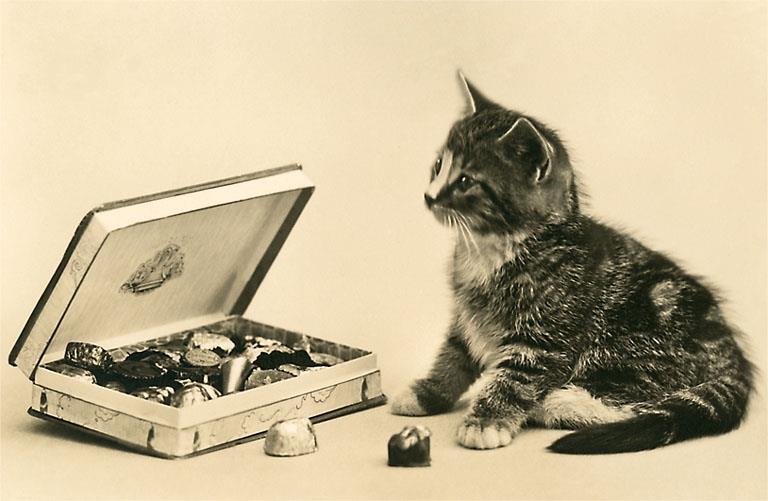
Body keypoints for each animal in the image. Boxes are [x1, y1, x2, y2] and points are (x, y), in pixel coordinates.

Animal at [390, 73, 754, 454]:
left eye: (465, 181)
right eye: (438, 167)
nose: (429, 196)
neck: (489, 249)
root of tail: (733, 360)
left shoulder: (543, 340)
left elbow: (515, 379)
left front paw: (486, 421)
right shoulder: (466, 320)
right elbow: (453, 357)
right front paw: (427, 393)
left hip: (632, 339)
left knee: (641, 400)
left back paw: (560, 403)